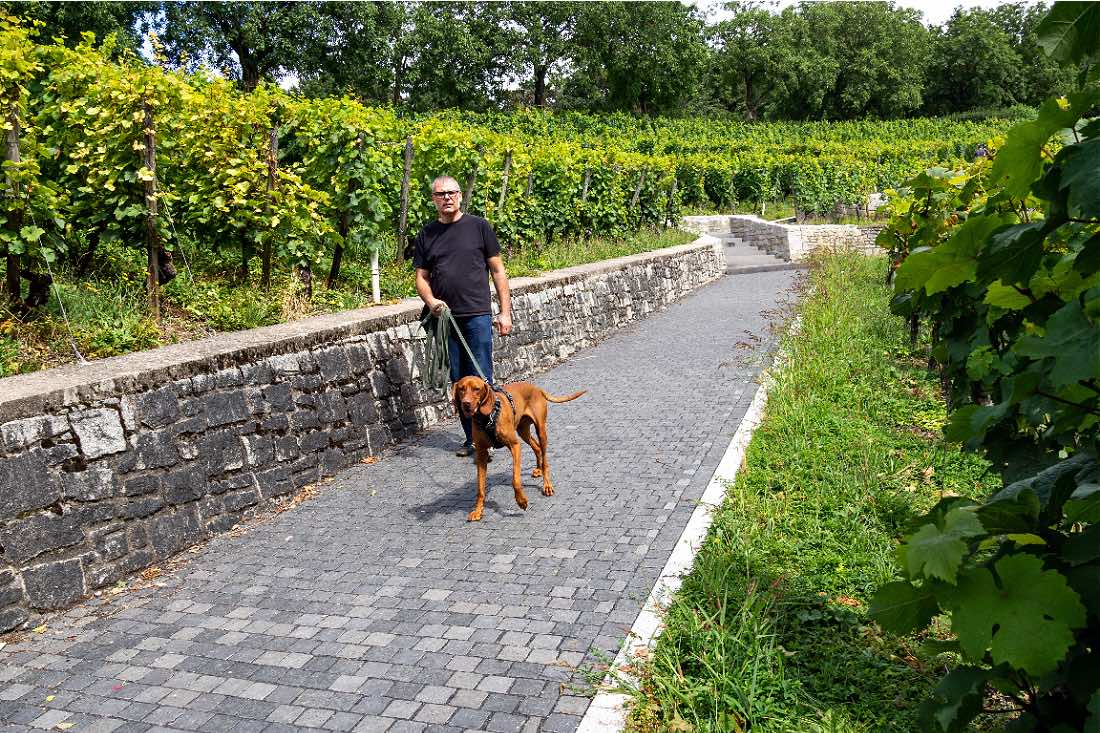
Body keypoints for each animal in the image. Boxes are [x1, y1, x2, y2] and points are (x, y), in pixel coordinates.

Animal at [448, 376, 585, 519]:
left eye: (477, 389)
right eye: (461, 389)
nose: (465, 403)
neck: (487, 417)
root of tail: (536, 388)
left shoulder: (515, 446)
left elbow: (516, 480)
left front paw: (521, 501)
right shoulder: (481, 454)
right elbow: (480, 488)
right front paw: (478, 510)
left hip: (541, 431)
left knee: (544, 458)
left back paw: (546, 484)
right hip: (523, 431)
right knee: (536, 447)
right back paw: (538, 469)